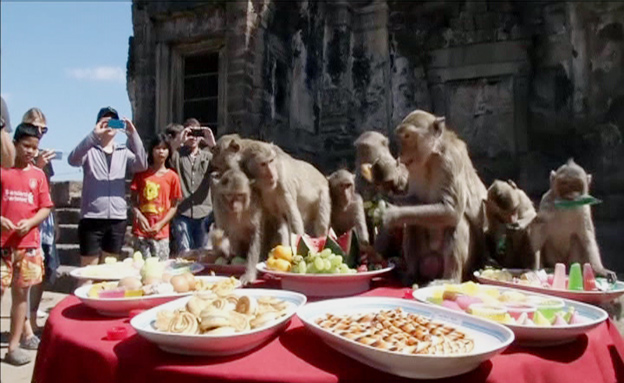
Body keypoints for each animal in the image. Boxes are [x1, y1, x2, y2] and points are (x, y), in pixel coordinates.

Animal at [382, 109, 490, 284]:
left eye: (408, 136)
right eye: (401, 137)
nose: (400, 153)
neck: (431, 158)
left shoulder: (450, 161)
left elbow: (451, 210)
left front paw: (392, 214)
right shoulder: (413, 168)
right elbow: (414, 200)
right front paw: (392, 201)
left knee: (456, 221)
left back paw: (450, 279)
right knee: (413, 222)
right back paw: (411, 275)